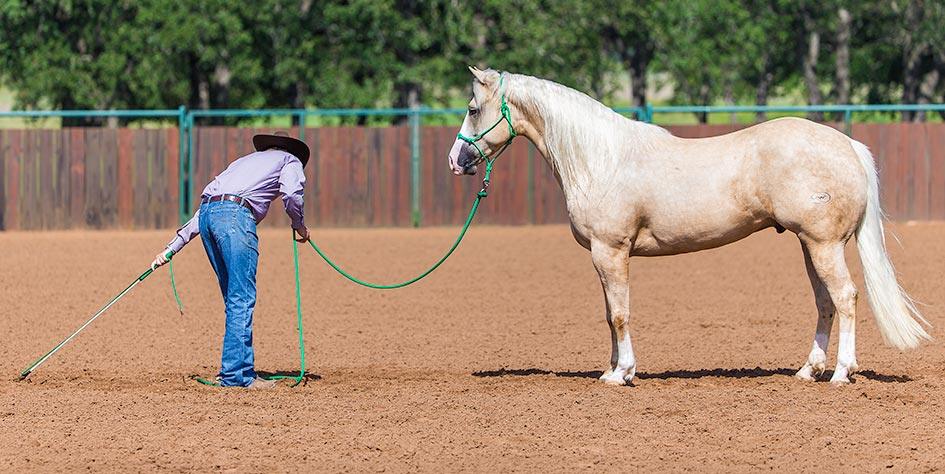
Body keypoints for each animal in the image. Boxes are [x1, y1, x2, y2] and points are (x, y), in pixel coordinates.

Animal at [448, 67, 930, 386]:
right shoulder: (605, 257)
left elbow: (620, 313)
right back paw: (808, 371)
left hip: (824, 244)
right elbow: (609, 313)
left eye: (472, 108)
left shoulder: (610, 250)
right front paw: (611, 368)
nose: (456, 160)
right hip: (811, 246)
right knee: (826, 302)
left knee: (845, 297)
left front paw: (622, 374)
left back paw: (841, 373)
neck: (602, 159)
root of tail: (847, 145)